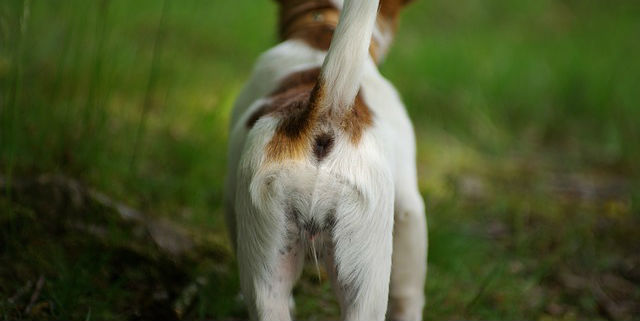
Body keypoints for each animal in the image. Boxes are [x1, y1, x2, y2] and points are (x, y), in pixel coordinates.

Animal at [222, 0, 428, 318]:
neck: (321, 30)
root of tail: (326, 112)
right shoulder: (409, 207)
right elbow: (409, 291)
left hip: (269, 274)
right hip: (367, 277)